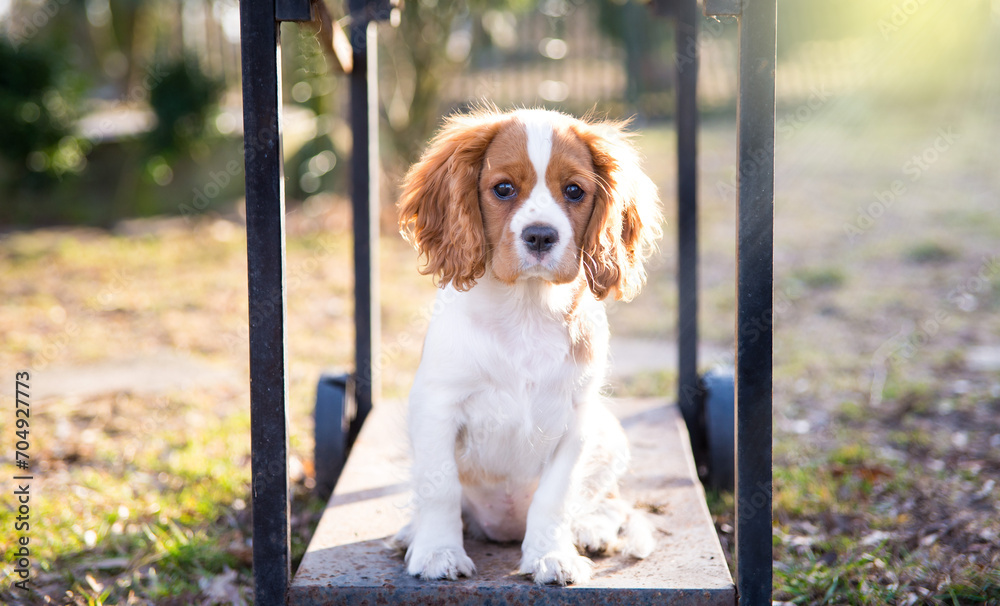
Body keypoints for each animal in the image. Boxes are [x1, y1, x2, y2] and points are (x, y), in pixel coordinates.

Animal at [392, 109, 664, 588]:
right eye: (503, 189)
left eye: (574, 191)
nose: (540, 236)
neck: (526, 310)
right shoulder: (435, 406)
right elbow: (440, 488)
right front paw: (438, 552)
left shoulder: (577, 421)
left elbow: (555, 497)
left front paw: (551, 556)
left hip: (610, 433)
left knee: (610, 502)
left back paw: (590, 529)